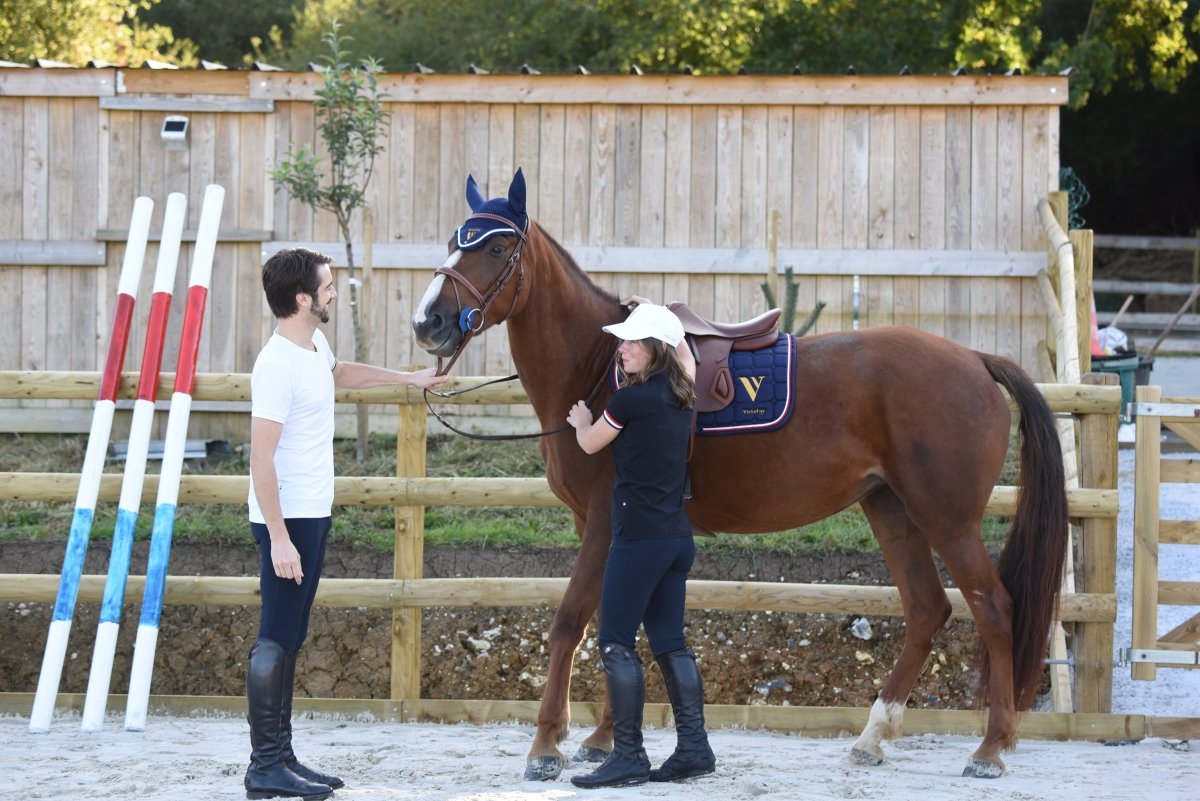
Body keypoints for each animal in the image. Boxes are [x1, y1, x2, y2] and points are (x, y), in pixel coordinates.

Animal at [412, 169, 1068, 781]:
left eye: (497, 247)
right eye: (453, 240)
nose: (429, 322)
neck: (601, 369)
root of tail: (976, 360)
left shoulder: (604, 521)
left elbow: (572, 622)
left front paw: (547, 745)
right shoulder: (611, 528)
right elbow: (619, 619)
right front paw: (601, 737)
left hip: (947, 519)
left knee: (994, 609)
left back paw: (992, 748)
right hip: (893, 510)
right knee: (928, 611)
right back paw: (873, 737)